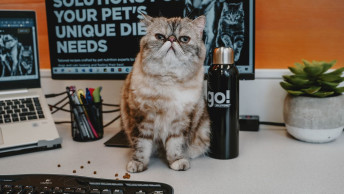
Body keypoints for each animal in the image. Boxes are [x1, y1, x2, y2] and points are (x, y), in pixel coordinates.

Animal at [119, 15, 210, 173]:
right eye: (160, 37)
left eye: (184, 39)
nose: (172, 39)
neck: (169, 80)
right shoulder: (141, 118)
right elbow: (141, 146)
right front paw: (138, 163)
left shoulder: (180, 121)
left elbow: (175, 145)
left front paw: (177, 161)